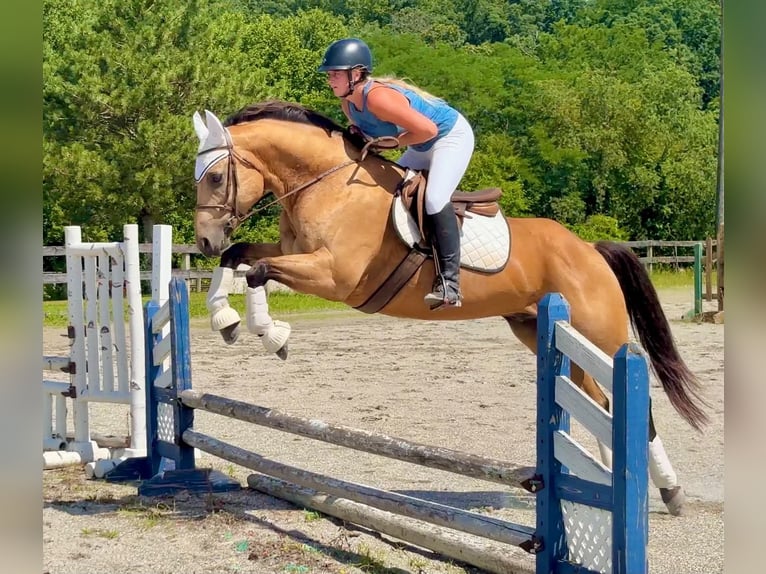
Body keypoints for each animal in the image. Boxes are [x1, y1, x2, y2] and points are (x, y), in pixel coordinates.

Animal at [191, 100, 708, 516]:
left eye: (215, 176)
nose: (202, 241)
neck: (327, 186)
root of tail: (589, 249)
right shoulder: (289, 255)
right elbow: (239, 259)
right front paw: (228, 320)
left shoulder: (335, 278)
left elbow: (257, 272)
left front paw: (268, 332)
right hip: (543, 331)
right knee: (599, 402)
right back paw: (607, 481)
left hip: (600, 333)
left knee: (634, 406)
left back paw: (670, 492)